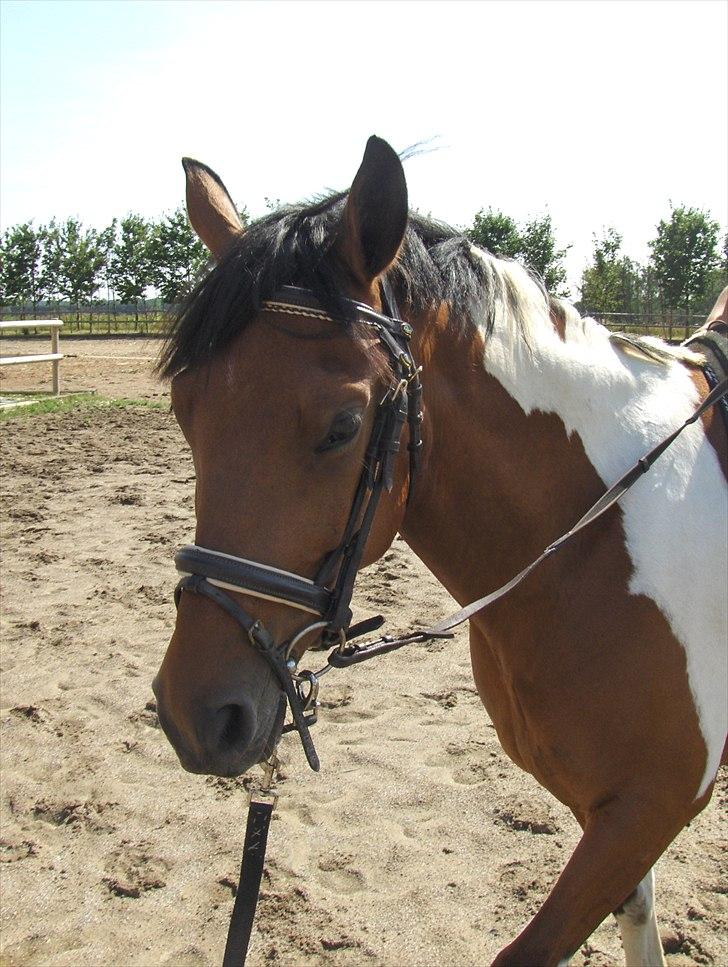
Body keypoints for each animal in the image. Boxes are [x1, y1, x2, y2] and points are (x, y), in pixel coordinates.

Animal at [152, 136, 727, 966]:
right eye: (184, 410)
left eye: (343, 425)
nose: (195, 716)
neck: (586, 545)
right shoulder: (608, 807)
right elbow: (636, 911)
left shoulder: (652, 802)